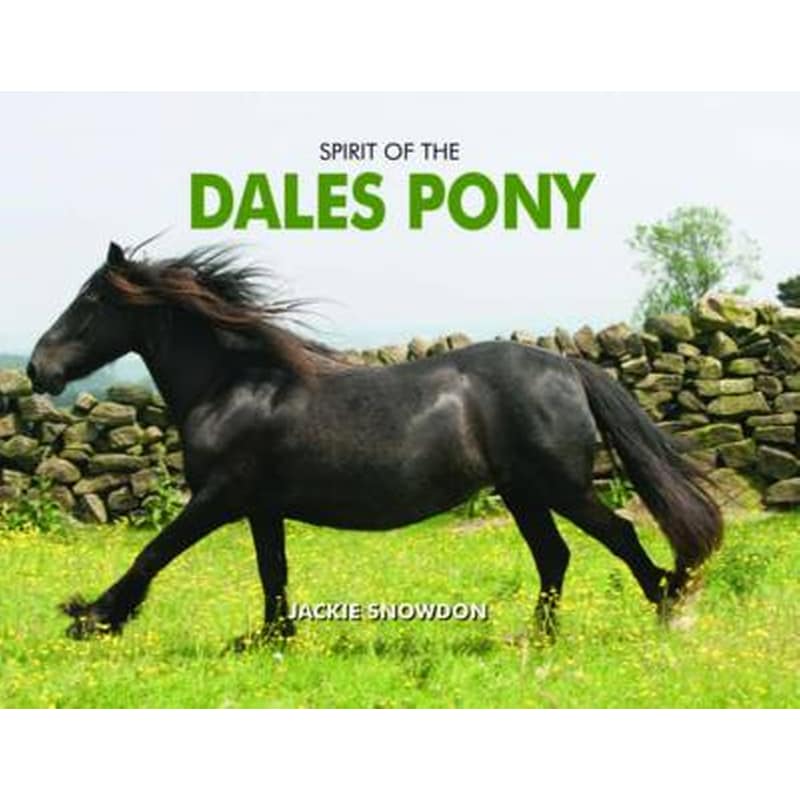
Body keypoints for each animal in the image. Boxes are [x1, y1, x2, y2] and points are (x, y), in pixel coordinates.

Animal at [27, 242, 723, 646]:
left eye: (91, 299)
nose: (38, 368)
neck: (234, 386)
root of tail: (567, 367)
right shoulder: (261, 507)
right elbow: (272, 572)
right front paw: (272, 640)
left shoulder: (219, 498)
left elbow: (152, 554)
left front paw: (91, 616)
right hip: (523, 491)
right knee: (555, 557)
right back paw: (536, 638)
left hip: (557, 486)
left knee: (620, 537)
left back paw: (669, 610)